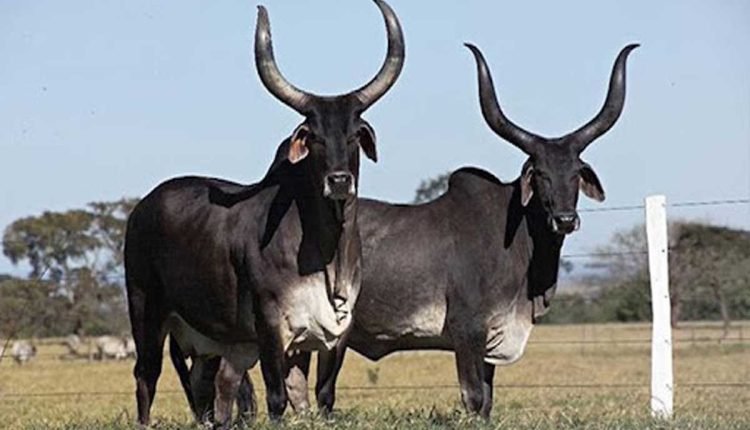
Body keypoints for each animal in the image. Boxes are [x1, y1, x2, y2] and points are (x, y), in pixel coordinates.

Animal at [123, 0, 404, 428]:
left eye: (355, 134)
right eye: (313, 136)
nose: (339, 181)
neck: (326, 253)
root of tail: (143, 207)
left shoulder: (334, 335)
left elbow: (318, 397)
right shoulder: (271, 329)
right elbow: (276, 398)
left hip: (210, 341)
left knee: (204, 388)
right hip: (146, 312)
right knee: (146, 377)